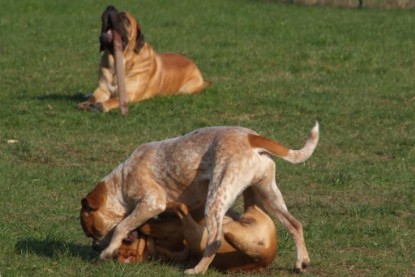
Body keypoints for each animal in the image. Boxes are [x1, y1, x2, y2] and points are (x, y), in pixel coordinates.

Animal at [77, 5, 210, 111]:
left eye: (125, 19)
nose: (110, 7)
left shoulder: (130, 93)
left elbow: (115, 100)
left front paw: (102, 105)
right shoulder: (102, 89)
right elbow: (94, 96)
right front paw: (86, 103)